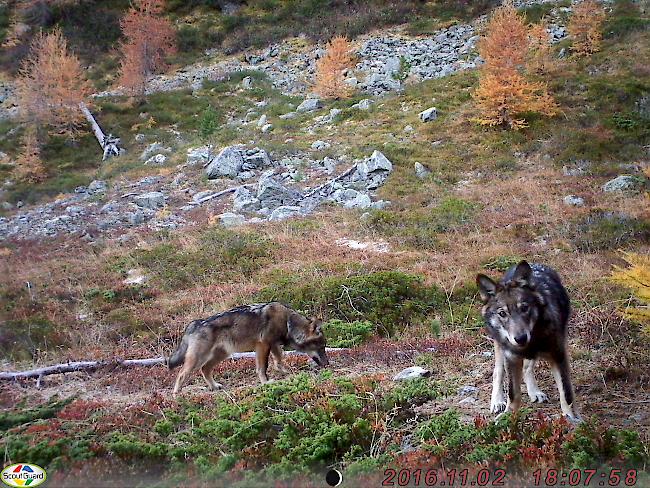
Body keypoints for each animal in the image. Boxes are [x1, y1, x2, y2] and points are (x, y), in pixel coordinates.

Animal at [167, 302, 330, 396]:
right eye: (321, 347)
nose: (327, 364)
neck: (287, 322)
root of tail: (194, 323)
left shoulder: (273, 345)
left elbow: (279, 361)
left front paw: (286, 372)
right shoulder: (263, 345)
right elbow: (263, 367)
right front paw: (266, 383)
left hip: (221, 355)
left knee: (205, 370)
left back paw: (214, 386)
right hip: (199, 358)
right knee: (181, 373)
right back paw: (176, 395)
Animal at [474, 262, 580, 422]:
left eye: (524, 308)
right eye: (502, 313)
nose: (520, 338)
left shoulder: (559, 356)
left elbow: (566, 392)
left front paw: (569, 417)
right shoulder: (511, 359)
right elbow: (513, 394)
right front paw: (508, 417)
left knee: (527, 368)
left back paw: (535, 392)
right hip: (500, 347)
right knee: (497, 372)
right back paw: (497, 401)